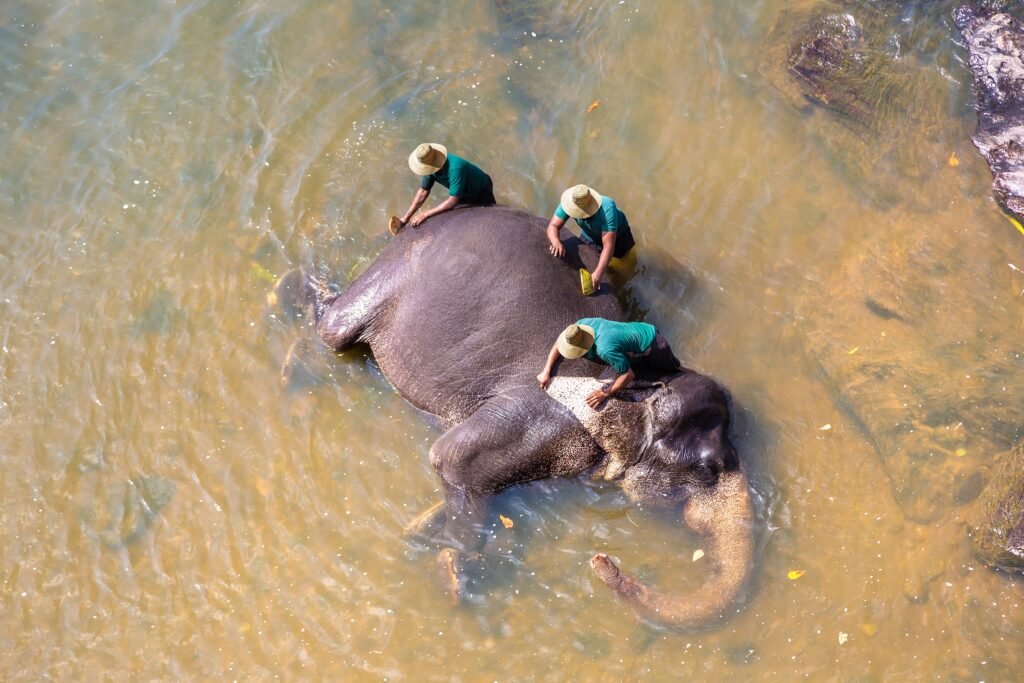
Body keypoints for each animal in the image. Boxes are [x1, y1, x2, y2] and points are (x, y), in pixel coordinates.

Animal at [272, 205, 755, 629]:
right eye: (707, 469)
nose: (602, 561)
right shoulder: (543, 416)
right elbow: (451, 458)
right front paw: (454, 577)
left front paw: (418, 531)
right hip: (393, 274)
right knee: (334, 330)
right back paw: (286, 304)